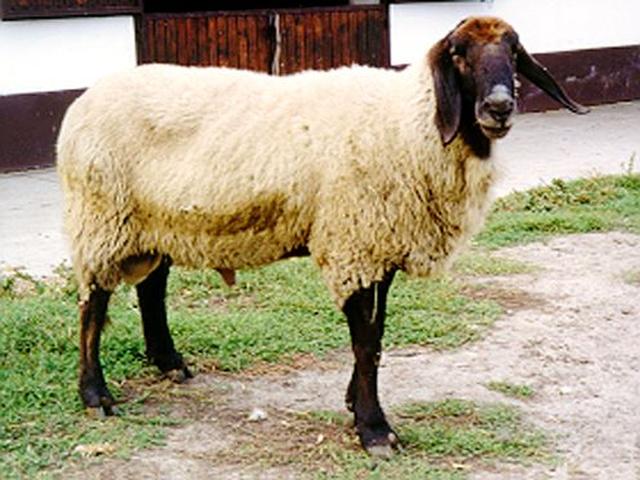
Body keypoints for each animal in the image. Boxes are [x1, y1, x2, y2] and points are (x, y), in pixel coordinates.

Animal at [56, 16, 586, 456]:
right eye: (457, 52)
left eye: (514, 51)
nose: (498, 107)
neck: (409, 122)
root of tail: (85, 98)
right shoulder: (355, 241)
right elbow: (366, 343)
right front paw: (374, 430)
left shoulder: (377, 245)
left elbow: (377, 335)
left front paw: (356, 403)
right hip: (102, 217)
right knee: (92, 304)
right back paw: (95, 395)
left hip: (157, 221)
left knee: (151, 287)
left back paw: (169, 362)